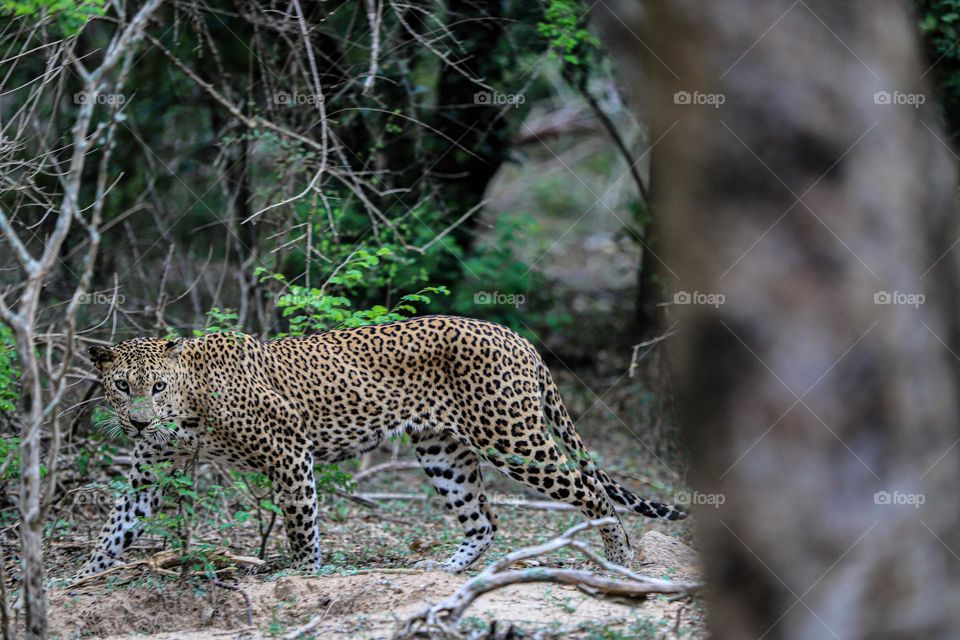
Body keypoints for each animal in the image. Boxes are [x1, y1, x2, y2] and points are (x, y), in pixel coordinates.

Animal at [79, 316, 688, 580]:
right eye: (122, 387)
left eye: (157, 386)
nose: (138, 421)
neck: (188, 407)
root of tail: (517, 336)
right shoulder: (148, 475)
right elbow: (114, 529)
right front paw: (78, 579)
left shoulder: (288, 452)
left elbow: (302, 527)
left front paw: (306, 577)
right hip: (443, 451)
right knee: (483, 520)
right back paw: (445, 570)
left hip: (512, 438)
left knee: (590, 490)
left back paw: (619, 560)